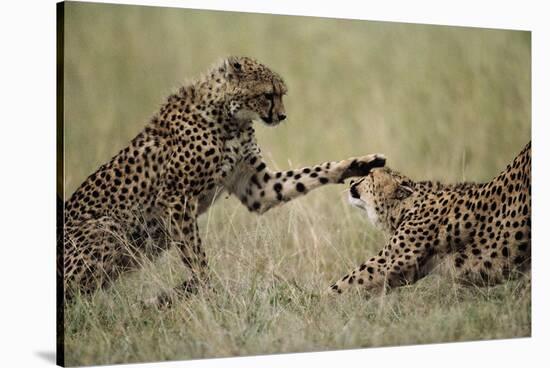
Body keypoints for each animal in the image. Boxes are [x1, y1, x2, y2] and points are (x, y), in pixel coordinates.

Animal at [61, 55, 388, 302]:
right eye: (268, 95)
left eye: (281, 94)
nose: (282, 116)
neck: (230, 117)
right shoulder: (175, 198)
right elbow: (195, 255)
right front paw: (208, 294)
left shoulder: (258, 188)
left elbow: (308, 175)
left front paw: (357, 164)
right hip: (107, 228)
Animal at [330, 142, 532, 294]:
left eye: (369, 176)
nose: (351, 181)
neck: (408, 206)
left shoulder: (391, 263)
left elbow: (345, 283)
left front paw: (323, 305)